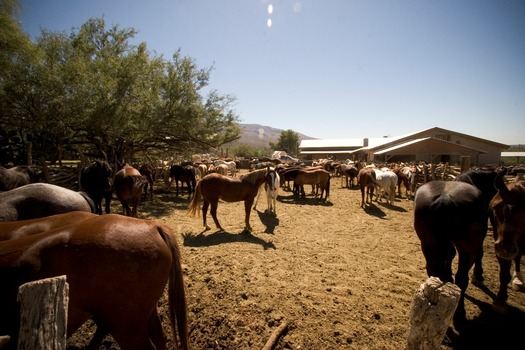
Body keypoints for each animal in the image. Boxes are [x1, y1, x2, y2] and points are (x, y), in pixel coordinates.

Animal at [488, 180, 524, 312]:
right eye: (495, 208)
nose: (505, 248)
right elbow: (504, 274)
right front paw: (500, 300)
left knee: (518, 257)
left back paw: (518, 278)